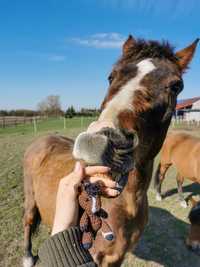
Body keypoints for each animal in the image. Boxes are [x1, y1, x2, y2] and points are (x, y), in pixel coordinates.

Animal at [22, 36, 198, 267]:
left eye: (176, 85)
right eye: (110, 76)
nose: (97, 142)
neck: (127, 203)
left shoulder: (117, 258)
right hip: (30, 199)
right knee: (28, 221)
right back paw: (27, 257)